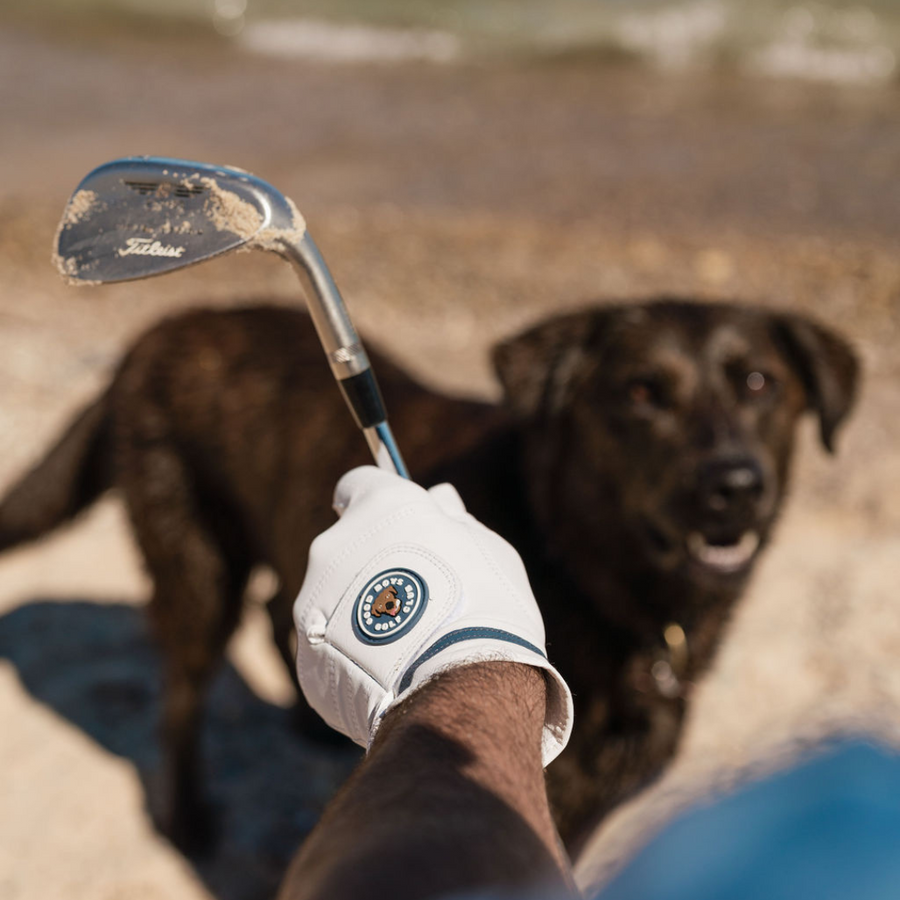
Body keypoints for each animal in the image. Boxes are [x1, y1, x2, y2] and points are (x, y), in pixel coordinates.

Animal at [0, 300, 856, 852]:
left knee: (278, 608)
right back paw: (187, 817)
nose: (734, 486)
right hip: (195, 564)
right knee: (183, 688)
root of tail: (156, 333)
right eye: (642, 392)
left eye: (760, 384)